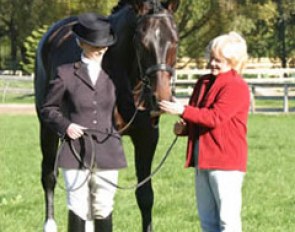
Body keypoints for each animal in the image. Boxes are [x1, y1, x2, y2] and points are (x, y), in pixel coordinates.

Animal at [33, 0, 179, 231]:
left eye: (175, 40)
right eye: (141, 42)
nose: (161, 97)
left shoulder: (147, 137)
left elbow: (145, 195)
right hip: (47, 127)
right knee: (49, 176)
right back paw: (49, 224)